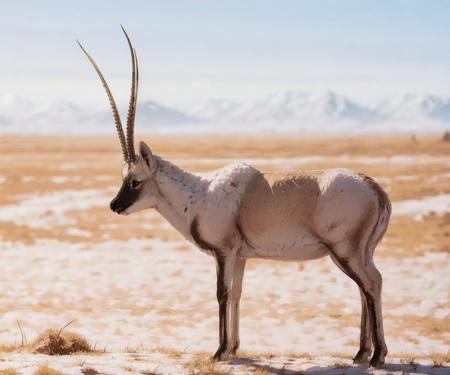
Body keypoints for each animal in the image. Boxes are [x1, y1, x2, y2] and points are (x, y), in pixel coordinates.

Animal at [79, 27, 392, 368]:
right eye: (123, 177)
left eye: (135, 181)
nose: (115, 205)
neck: (199, 194)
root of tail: (374, 188)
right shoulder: (241, 255)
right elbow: (239, 292)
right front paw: (234, 347)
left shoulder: (224, 251)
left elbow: (222, 293)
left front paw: (219, 350)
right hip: (360, 252)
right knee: (365, 287)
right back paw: (360, 353)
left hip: (344, 250)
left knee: (371, 284)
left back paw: (377, 355)